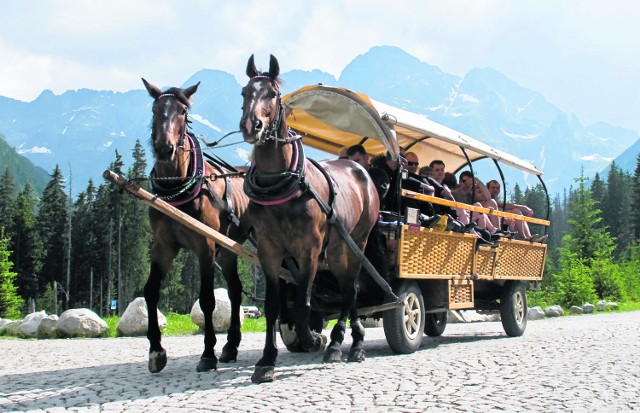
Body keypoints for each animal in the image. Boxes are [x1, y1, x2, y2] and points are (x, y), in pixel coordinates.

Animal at [141, 79, 251, 372]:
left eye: (183, 112)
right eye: (154, 110)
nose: (164, 148)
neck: (177, 188)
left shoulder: (206, 246)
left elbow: (207, 300)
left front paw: (208, 353)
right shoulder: (163, 246)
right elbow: (151, 292)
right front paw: (156, 350)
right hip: (230, 248)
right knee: (235, 291)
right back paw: (231, 345)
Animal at [240, 55, 380, 384]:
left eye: (272, 94)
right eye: (244, 92)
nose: (252, 125)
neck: (281, 185)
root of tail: (359, 169)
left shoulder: (309, 250)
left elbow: (303, 300)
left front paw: (311, 339)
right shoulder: (270, 251)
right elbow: (274, 305)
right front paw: (267, 360)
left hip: (357, 243)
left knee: (350, 290)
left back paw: (346, 343)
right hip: (337, 249)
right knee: (350, 292)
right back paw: (346, 341)